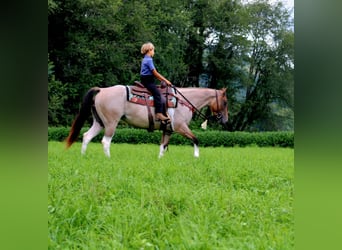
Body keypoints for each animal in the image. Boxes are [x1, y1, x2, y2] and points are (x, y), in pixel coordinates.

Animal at [65, 84, 228, 158]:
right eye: (225, 102)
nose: (225, 121)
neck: (183, 101)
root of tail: (102, 90)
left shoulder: (168, 130)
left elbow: (163, 146)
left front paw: (159, 160)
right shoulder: (180, 127)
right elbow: (195, 139)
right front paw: (196, 157)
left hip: (99, 122)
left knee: (86, 136)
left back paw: (83, 156)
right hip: (111, 123)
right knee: (105, 141)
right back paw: (108, 159)